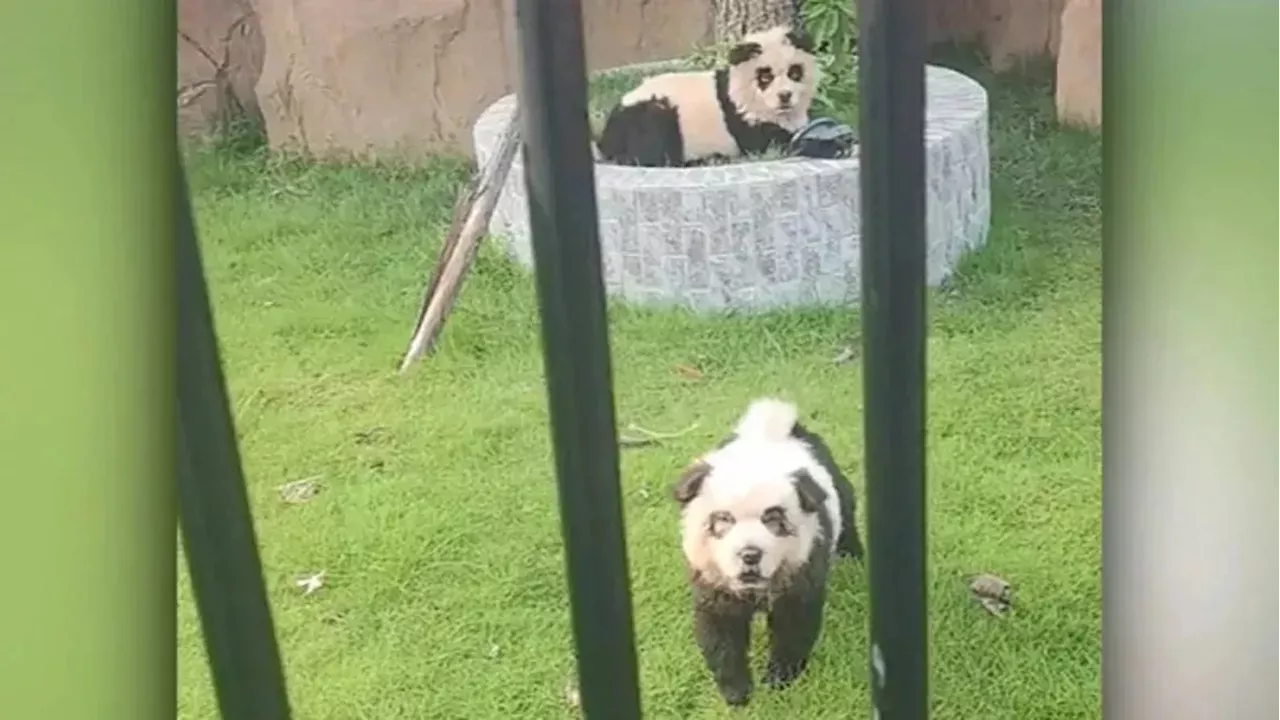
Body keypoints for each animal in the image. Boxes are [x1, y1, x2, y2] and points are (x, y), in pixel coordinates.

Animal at [670, 397, 860, 707]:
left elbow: (792, 627)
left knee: (848, 511)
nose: (750, 554)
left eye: (773, 520)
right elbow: (720, 633)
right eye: (723, 520)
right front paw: (736, 693)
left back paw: (853, 557)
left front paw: (779, 680)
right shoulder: (713, 582)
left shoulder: (801, 570)